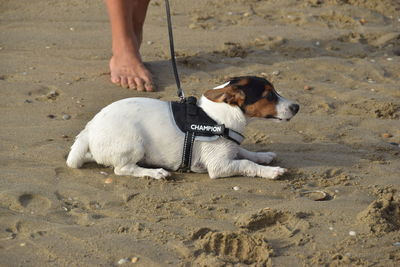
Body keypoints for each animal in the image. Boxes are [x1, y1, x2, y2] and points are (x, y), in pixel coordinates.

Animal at [67, 77, 298, 181]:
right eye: (269, 95)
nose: (297, 107)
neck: (219, 117)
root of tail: (89, 129)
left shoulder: (229, 149)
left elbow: (244, 152)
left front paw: (264, 156)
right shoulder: (219, 166)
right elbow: (246, 163)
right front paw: (272, 171)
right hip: (134, 143)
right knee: (123, 168)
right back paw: (155, 173)